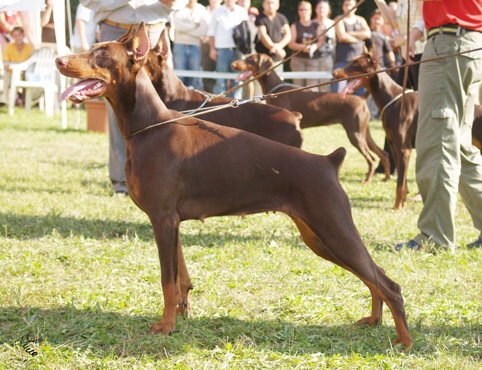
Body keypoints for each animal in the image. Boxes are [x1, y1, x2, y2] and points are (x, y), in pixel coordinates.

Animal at [232, 53, 390, 184]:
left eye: (250, 59)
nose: (233, 64)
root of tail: (361, 98)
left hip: (355, 134)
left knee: (372, 159)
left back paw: (367, 181)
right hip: (363, 132)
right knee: (383, 154)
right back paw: (386, 178)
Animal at [334, 44, 482, 208]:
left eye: (356, 64)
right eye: (351, 62)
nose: (334, 72)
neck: (392, 97)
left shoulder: (404, 148)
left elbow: (400, 183)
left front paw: (397, 207)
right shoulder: (395, 146)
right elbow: (402, 180)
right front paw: (403, 202)